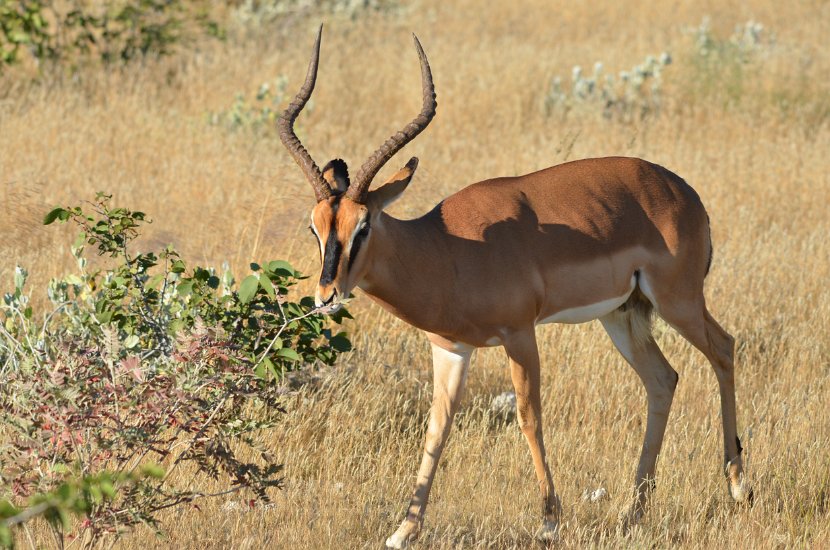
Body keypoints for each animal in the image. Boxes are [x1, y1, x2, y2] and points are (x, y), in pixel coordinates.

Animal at [278, 25, 751, 547]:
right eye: (315, 227)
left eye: (363, 226)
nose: (326, 296)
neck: (447, 250)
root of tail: (684, 192)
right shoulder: (450, 350)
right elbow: (436, 429)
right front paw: (404, 530)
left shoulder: (520, 334)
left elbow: (529, 416)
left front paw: (549, 520)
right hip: (623, 314)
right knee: (663, 379)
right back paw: (634, 512)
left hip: (677, 301)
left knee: (724, 348)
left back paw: (738, 488)